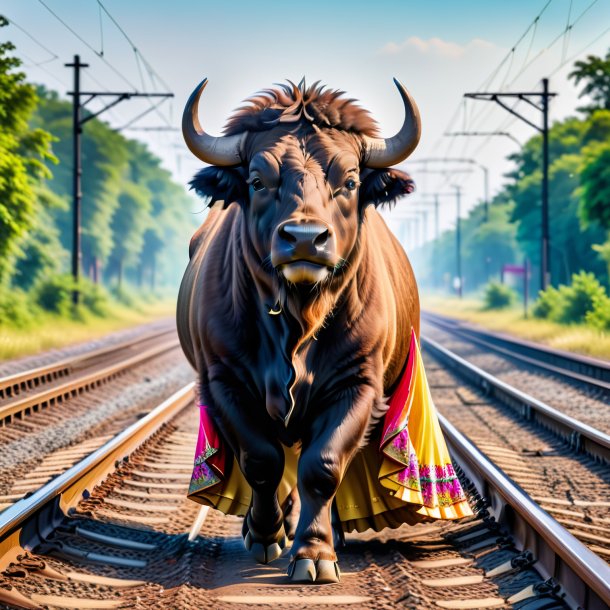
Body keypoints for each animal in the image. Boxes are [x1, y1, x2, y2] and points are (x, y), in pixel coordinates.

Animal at [176, 78, 470, 580]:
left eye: (349, 181)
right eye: (258, 181)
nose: (304, 239)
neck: (298, 321)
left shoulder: (359, 384)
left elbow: (323, 466)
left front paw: (314, 552)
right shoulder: (223, 381)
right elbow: (262, 460)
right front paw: (266, 534)